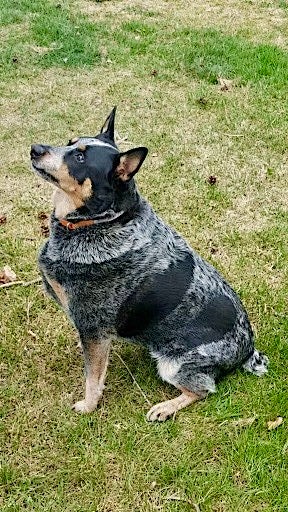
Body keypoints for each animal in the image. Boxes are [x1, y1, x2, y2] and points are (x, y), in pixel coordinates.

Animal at [29, 107, 268, 420]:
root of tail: (247, 349)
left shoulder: (94, 327)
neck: (101, 223)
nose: (35, 148)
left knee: (203, 390)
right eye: (69, 142)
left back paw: (165, 408)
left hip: (174, 365)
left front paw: (89, 406)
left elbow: (93, 377)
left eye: (80, 158)